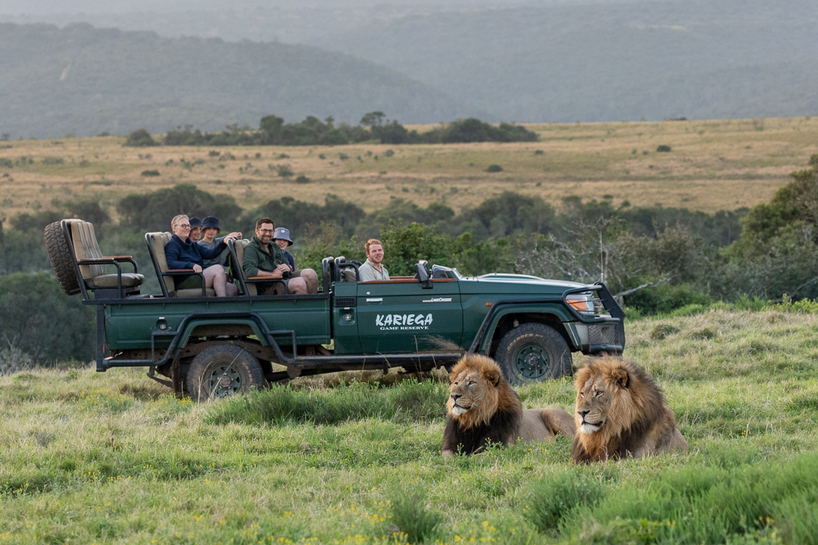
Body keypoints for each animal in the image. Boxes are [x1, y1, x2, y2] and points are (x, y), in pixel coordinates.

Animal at [440, 352, 572, 454]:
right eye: (456, 383)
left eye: (471, 383)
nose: (454, 396)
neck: (473, 421)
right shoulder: (448, 447)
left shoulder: (497, 449)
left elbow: (472, 457)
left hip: (551, 413)